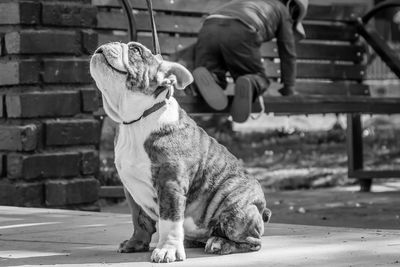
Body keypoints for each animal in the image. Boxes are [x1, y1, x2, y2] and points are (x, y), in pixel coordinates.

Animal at [90, 42, 272, 264]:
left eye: (135, 50)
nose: (109, 44)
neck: (137, 120)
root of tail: (262, 208)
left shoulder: (170, 184)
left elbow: (170, 221)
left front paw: (167, 250)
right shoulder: (131, 189)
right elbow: (139, 219)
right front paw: (136, 243)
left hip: (235, 210)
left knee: (252, 241)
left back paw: (220, 243)